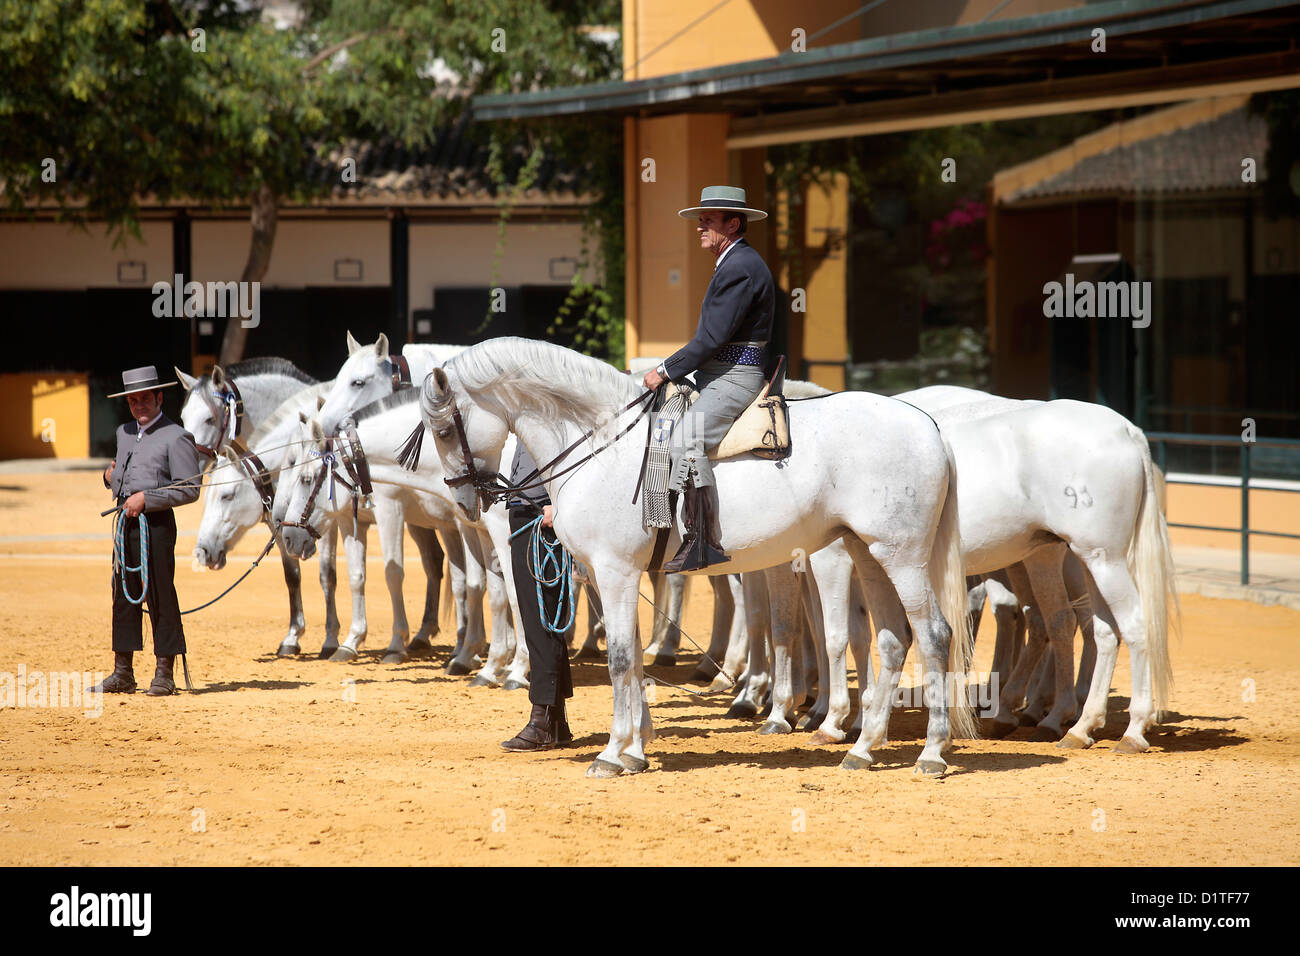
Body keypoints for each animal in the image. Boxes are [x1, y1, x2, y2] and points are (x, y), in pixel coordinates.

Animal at [413, 337, 975, 778]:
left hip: (901, 558)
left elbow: (620, 659)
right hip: (868, 553)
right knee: (894, 639)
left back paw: (930, 753)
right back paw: (863, 748)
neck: (600, 443)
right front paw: (635, 749)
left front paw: (613, 755)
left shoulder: (616, 572)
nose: (465, 502)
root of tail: (928, 425)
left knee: (934, 636)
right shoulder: (613, 575)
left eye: (443, 431)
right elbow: (633, 658)